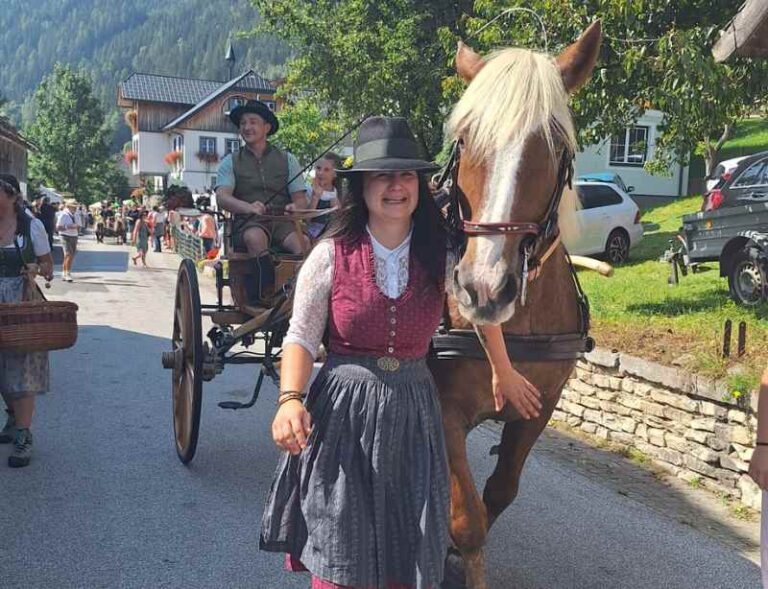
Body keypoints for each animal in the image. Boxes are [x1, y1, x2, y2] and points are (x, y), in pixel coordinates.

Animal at [428, 20, 604, 584]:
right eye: (464, 138)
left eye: (555, 143)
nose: (484, 287)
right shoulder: (443, 408)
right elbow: (467, 517)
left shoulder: (539, 408)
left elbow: (499, 493)